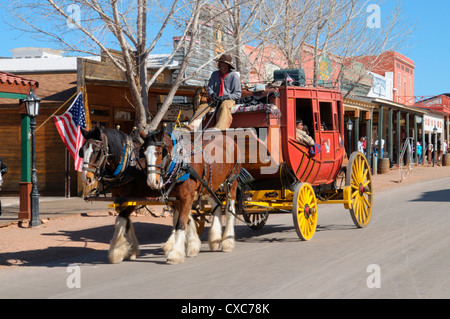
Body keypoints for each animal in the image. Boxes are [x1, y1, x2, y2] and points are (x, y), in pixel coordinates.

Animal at [79, 127, 158, 264]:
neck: (127, 166)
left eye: (97, 151)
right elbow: (126, 221)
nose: (86, 178)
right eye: (82, 151)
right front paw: (131, 250)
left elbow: (121, 219)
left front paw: (116, 252)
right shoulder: (119, 198)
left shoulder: (134, 198)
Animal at [142, 129, 243, 264]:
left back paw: (228, 242)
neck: (181, 166)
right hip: (208, 186)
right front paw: (192, 246)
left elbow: (180, 224)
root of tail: (229, 139)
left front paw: (175, 254)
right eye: (144, 154)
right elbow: (187, 220)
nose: (152, 182)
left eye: (158, 152)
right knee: (216, 204)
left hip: (231, 182)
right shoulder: (177, 200)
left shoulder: (186, 197)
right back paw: (215, 239)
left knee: (230, 210)